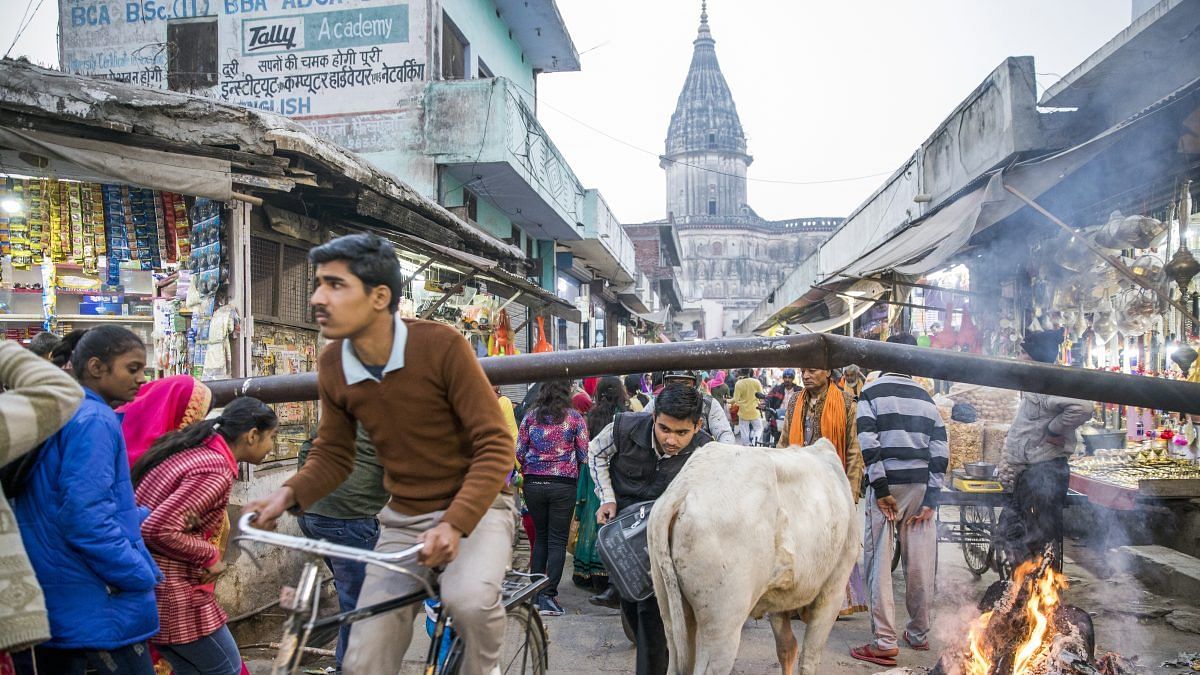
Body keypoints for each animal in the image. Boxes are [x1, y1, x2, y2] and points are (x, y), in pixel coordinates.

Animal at [648, 437, 864, 672]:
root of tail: (685, 487)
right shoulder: (834, 587)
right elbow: (809, 657)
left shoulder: (780, 593)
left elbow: (786, 647)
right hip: (723, 623)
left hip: (670, 610)